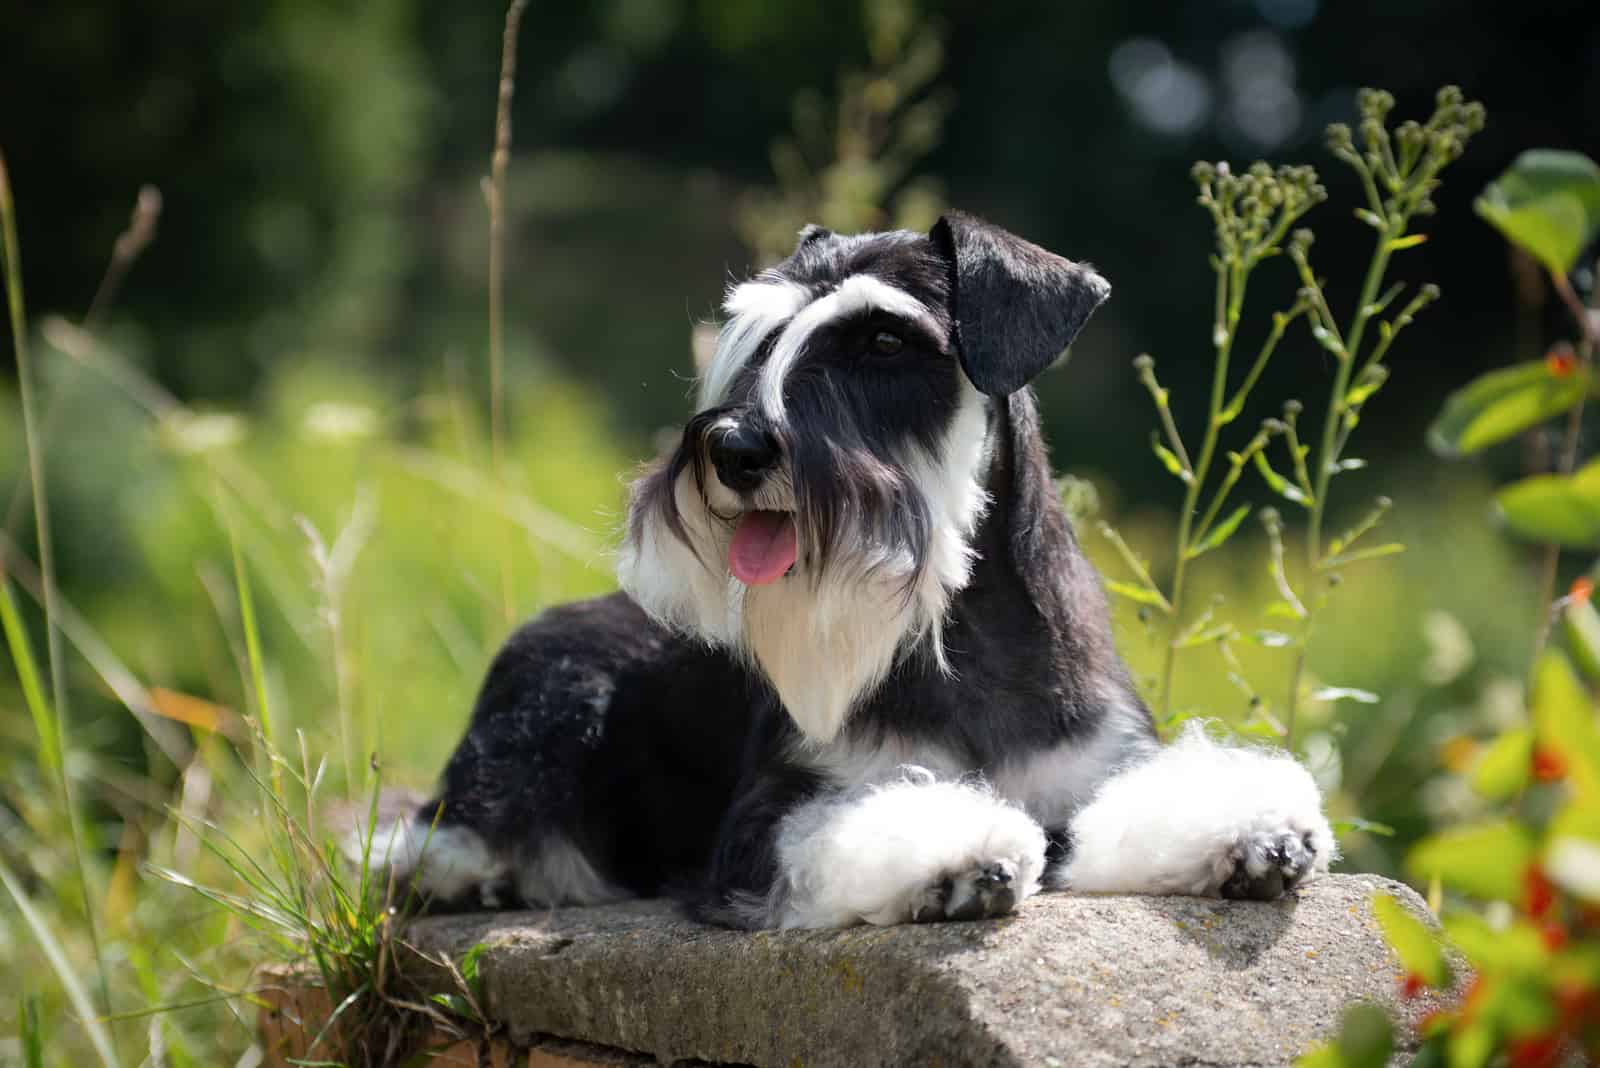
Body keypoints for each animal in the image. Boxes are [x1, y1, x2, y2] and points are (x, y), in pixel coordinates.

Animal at [368, 214, 1331, 927]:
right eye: (762, 338)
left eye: (883, 340)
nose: (732, 449)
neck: (961, 632)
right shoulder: (768, 818)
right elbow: (857, 823)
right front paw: (962, 856)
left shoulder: (1097, 762)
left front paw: (1255, 832)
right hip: (545, 717)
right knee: (431, 833)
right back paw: (468, 875)